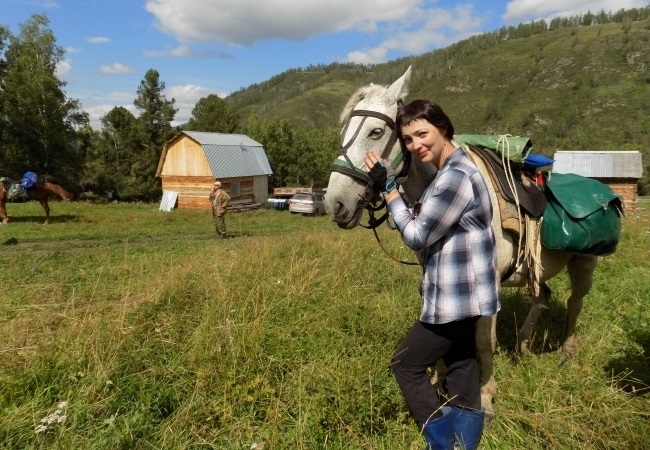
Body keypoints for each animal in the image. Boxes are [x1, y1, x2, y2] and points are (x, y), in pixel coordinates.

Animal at [324, 67, 604, 418]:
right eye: (344, 131)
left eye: (376, 132)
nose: (334, 203)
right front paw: (438, 381)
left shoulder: (488, 283)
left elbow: (484, 342)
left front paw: (485, 397)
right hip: (534, 271)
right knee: (542, 298)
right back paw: (523, 346)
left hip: (584, 264)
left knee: (574, 302)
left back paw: (566, 352)